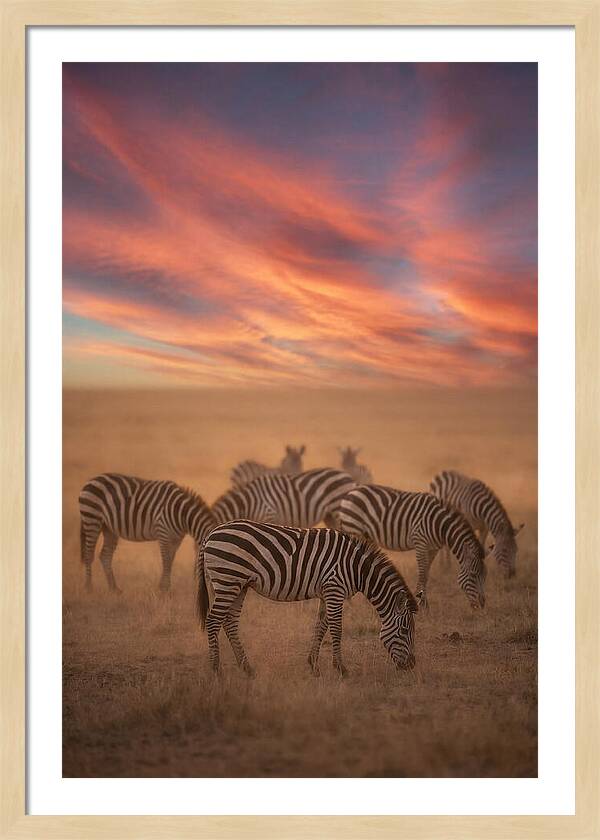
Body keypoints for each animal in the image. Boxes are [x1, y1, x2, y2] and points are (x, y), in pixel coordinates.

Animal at [79, 473, 215, 593]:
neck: (182, 514)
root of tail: (91, 480)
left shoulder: (176, 539)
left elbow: (170, 560)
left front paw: (163, 588)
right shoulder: (163, 532)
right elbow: (166, 560)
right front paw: (165, 590)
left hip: (109, 528)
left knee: (105, 556)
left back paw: (114, 589)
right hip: (92, 519)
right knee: (89, 554)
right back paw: (88, 588)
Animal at [196, 519, 418, 676]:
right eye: (405, 631)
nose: (411, 666)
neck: (357, 569)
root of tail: (211, 534)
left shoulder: (327, 592)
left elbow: (321, 626)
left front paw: (313, 665)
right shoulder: (335, 589)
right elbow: (336, 629)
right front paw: (341, 668)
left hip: (238, 585)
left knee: (229, 622)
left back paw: (247, 668)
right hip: (228, 579)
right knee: (213, 620)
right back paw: (216, 670)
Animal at [335, 484, 486, 610]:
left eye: (485, 576)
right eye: (473, 575)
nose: (482, 605)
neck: (440, 524)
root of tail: (351, 492)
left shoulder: (433, 548)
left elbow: (427, 573)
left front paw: (424, 602)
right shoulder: (420, 542)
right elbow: (422, 572)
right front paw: (422, 603)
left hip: (365, 534)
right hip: (353, 527)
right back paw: (350, 602)